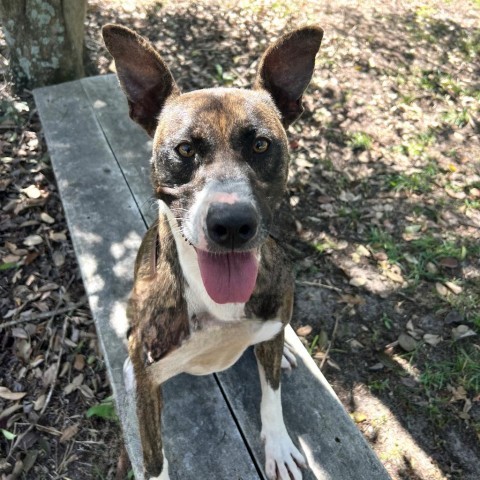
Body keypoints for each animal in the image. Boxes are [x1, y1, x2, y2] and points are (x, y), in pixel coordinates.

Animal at [103, 23, 324, 480]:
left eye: (261, 145)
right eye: (185, 150)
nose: (233, 224)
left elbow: (271, 394)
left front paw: (278, 445)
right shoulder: (151, 385)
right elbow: (154, 454)